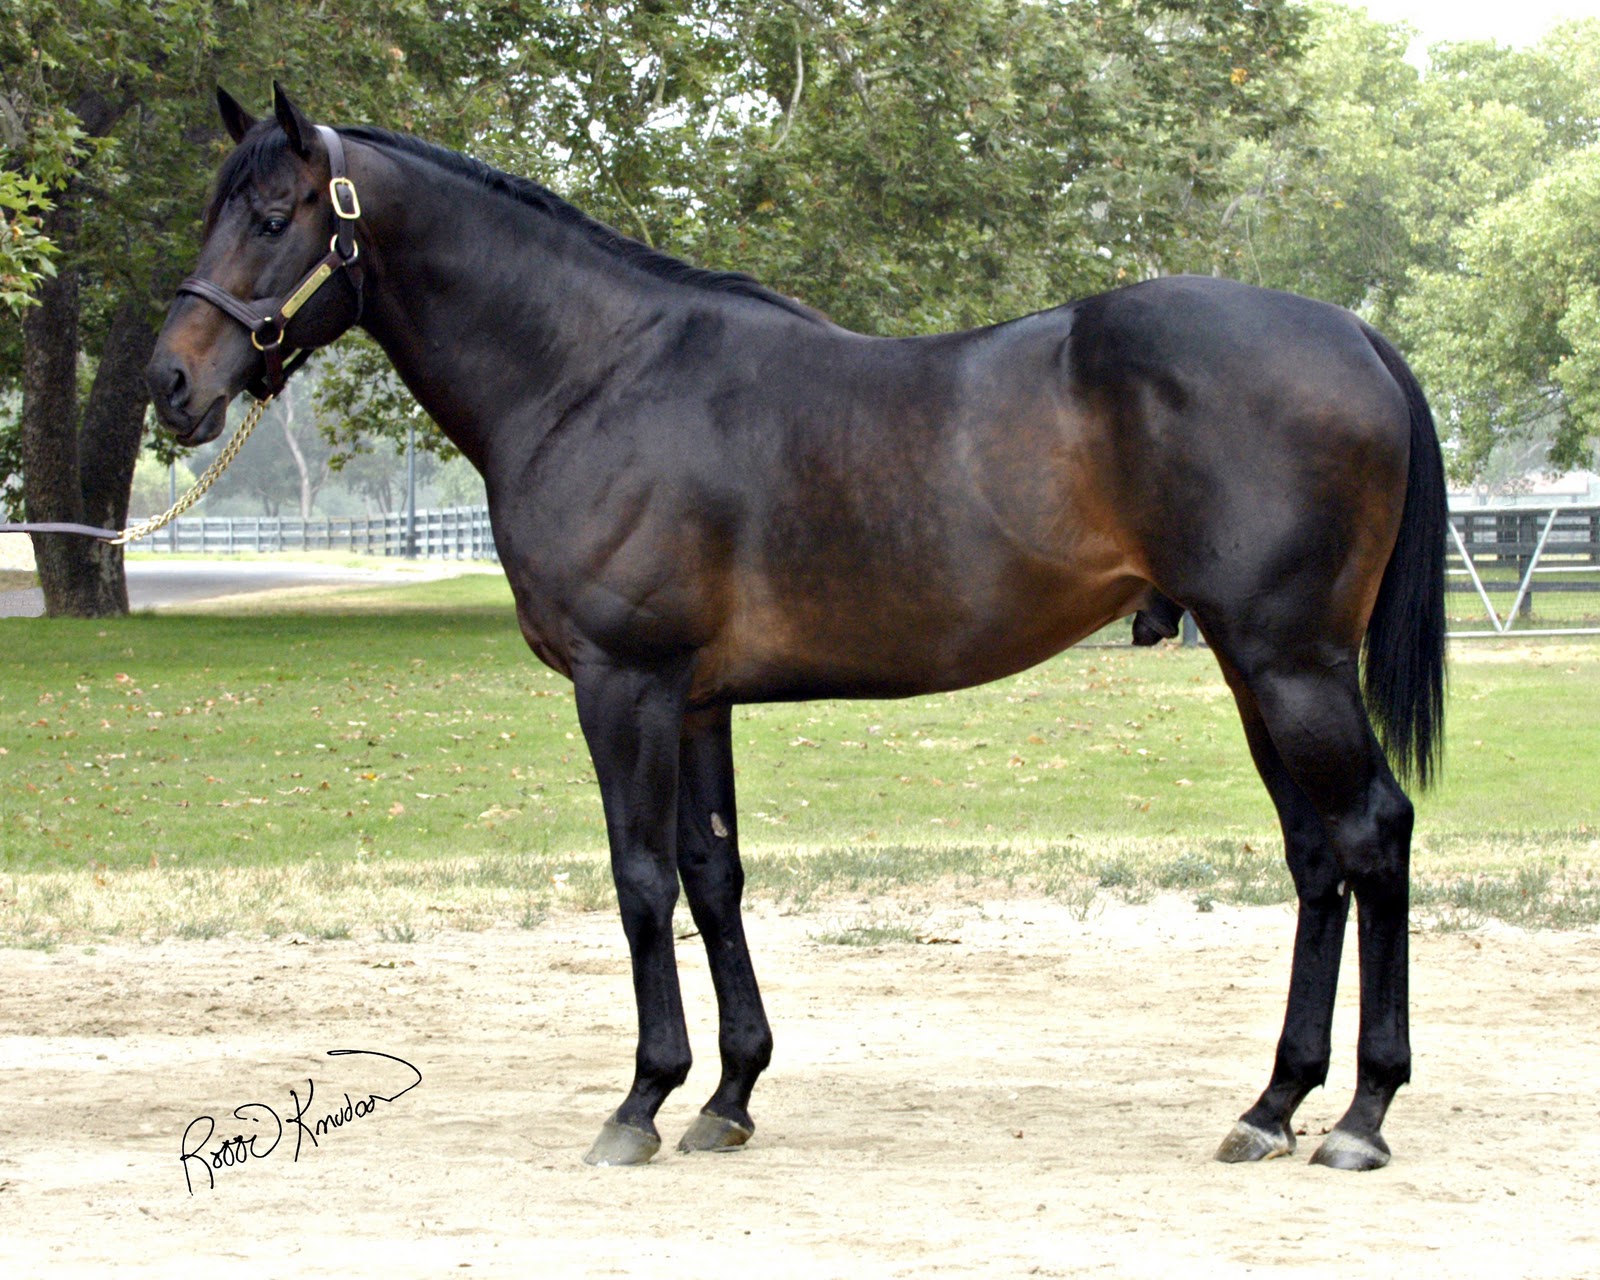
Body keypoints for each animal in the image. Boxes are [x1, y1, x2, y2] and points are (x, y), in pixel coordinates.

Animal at [146, 85, 1447, 1172]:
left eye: (272, 216)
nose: (172, 382)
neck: (591, 373)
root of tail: (1355, 336)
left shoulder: (623, 683)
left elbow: (638, 877)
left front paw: (639, 1101)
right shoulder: (695, 697)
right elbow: (713, 874)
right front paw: (727, 1094)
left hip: (1291, 663)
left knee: (1372, 832)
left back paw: (1362, 1114)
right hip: (1250, 665)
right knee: (1316, 854)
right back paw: (1272, 1104)